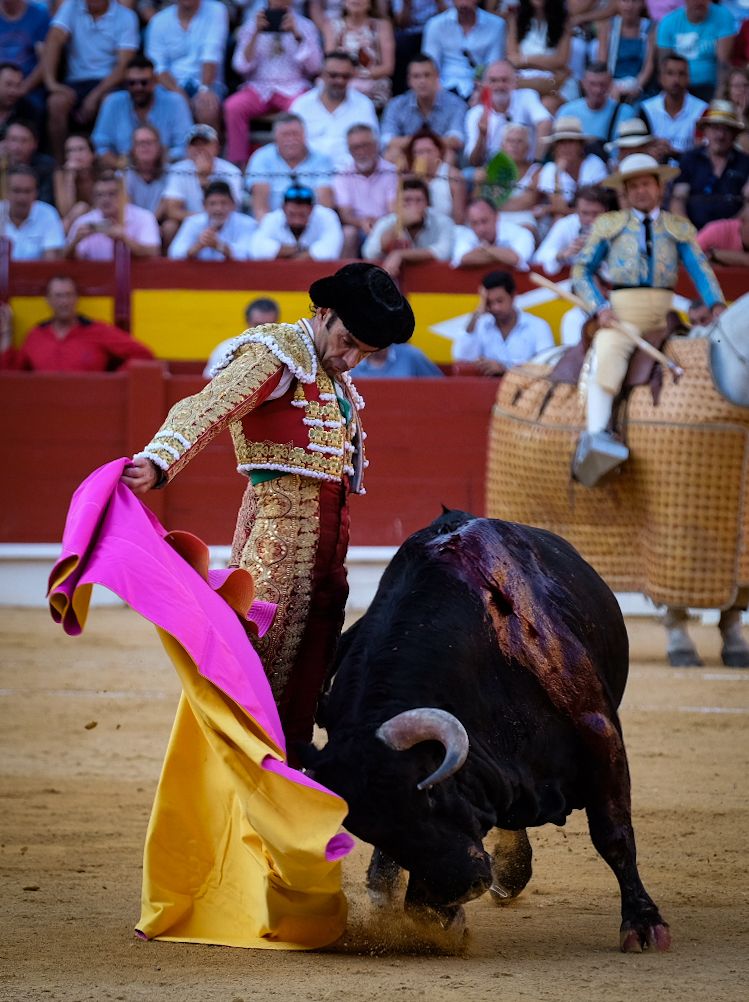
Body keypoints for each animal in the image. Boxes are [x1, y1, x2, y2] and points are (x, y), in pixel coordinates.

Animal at [304, 513, 672, 949]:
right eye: (363, 828)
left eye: (430, 796)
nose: (463, 886)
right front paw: (436, 916)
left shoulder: (600, 735)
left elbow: (613, 834)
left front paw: (644, 924)